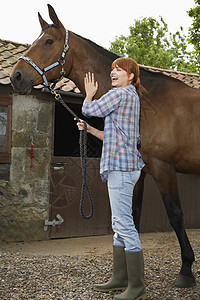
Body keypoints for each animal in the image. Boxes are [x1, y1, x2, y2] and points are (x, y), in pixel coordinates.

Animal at [10, 2, 200, 288]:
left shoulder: (163, 168)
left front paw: (186, 270)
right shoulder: (140, 170)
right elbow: (132, 214)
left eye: (48, 41)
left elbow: (176, 215)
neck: (147, 104)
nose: (16, 77)